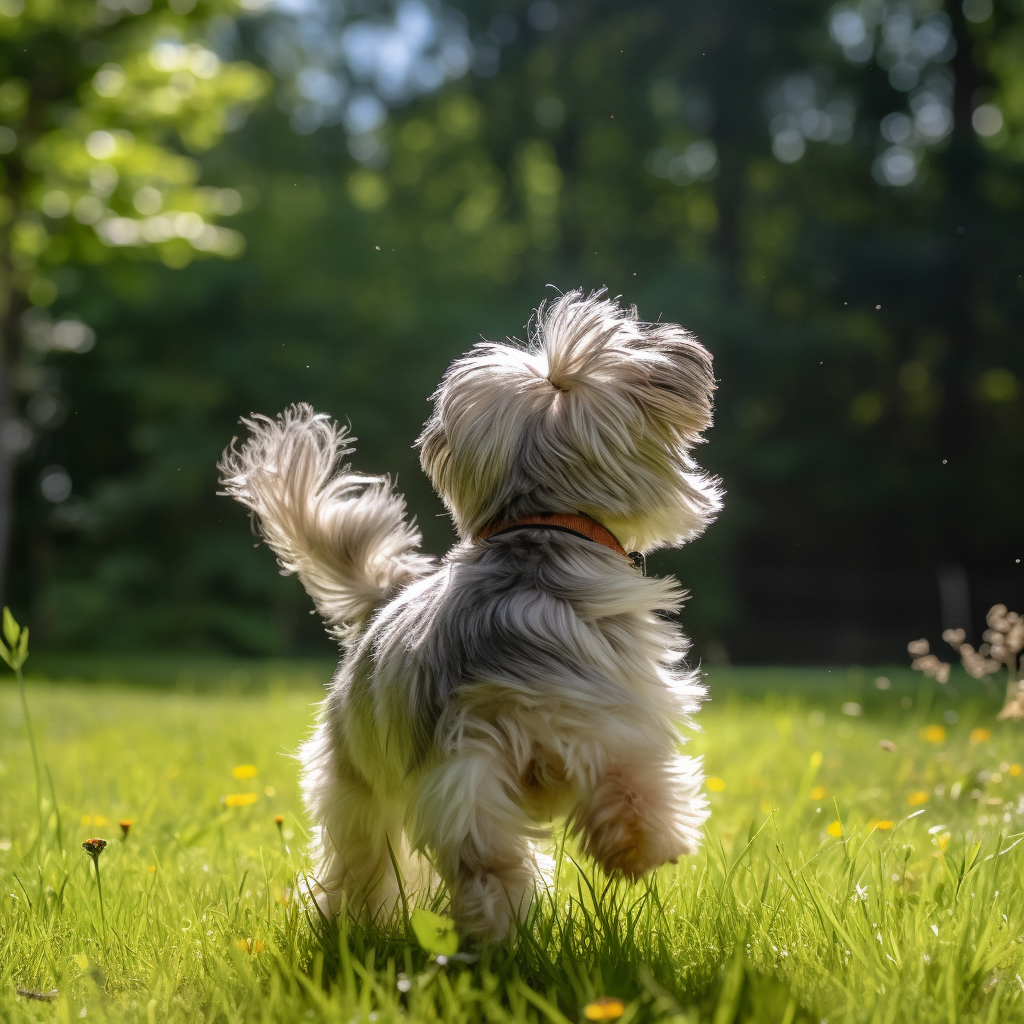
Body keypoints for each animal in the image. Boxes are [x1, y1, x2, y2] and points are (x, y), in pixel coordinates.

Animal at [217, 286, 720, 937]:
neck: (536, 530)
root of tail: (386, 597)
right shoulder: (621, 711)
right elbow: (635, 782)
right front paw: (643, 848)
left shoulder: (466, 768)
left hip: (391, 774)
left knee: (388, 861)